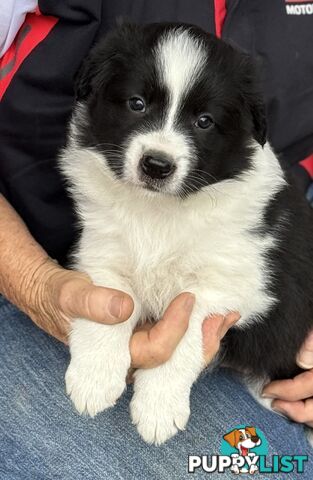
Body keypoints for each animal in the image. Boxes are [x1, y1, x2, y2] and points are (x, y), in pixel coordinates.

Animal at [59, 21, 312, 442]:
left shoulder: (226, 286)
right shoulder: (104, 253)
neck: (160, 212)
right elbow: (109, 308)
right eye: (137, 103)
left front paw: (158, 408)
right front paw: (94, 379)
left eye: (204, 121)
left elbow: (185, 339)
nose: (157, 165)